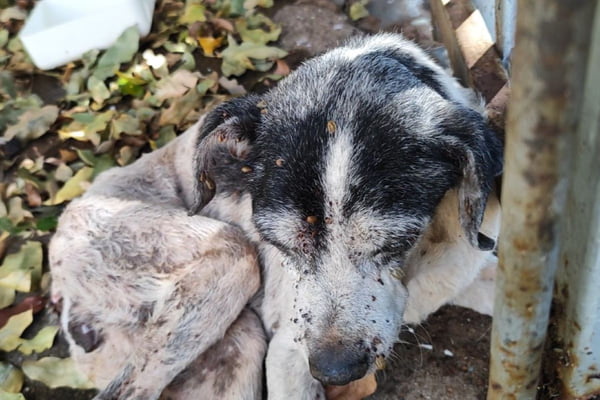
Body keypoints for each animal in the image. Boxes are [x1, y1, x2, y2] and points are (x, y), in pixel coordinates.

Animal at [50, 34, 502, 400]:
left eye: (397, 242)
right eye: (279, 243)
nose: (333, 371)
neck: (427, 258)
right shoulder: (287, 352)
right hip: (227, 273)